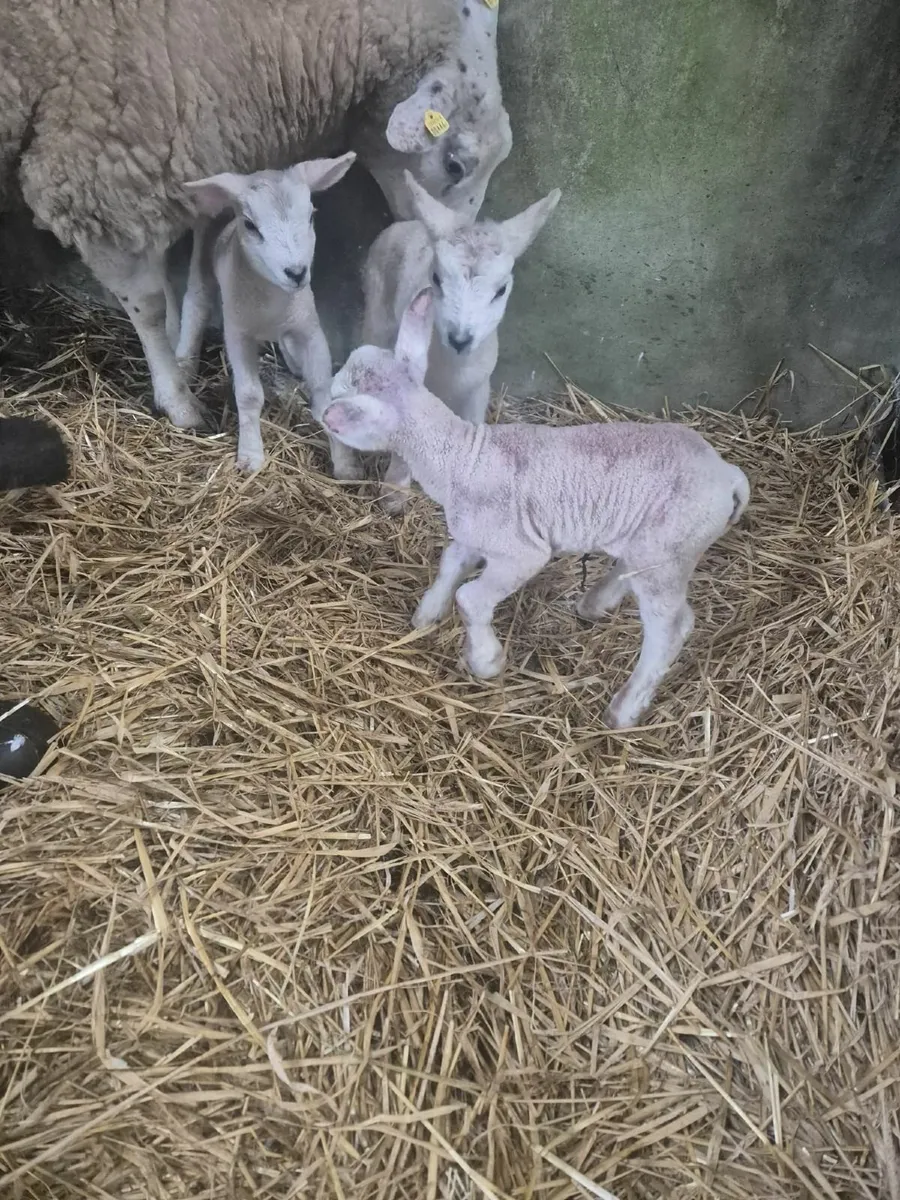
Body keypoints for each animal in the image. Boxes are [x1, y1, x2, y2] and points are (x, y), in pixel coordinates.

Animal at [0, 0, 512, 433]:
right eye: (455, 165)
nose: (458, 246)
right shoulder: (100, 174)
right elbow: (148, 303)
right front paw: (176, 398)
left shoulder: (192, 159)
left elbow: (196, 280)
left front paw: (184, 357)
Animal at [182, 154, 357, 475]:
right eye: (250, 225)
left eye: (311, 216)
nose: (296, 272)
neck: (273, 302)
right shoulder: (238, 332)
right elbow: (250, 395)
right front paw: (250, 456)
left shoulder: (309, 329)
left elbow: (324, 393)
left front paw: (346, 466)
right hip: (202, 252)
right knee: (196, 301)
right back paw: (184, 364)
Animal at [322, 290, 751, 730]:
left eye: (340, 395)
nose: (324, 412)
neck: (461, 456)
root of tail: (729, 475)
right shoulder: (473, 532)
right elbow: (450, 565)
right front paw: (426, 616)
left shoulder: (520, 550)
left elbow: (470, 598)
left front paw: (487, 661)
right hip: (654, 546)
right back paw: (595, 604)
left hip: (669, 551)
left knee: (671, 629)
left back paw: (624, 709)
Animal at [355, 171, 560, 509]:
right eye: (436, 278)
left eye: (501, 289)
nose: (460, 338)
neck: (450, 370)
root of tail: (410, 223)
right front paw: (394, 495)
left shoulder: (478, 388)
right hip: (376, 307)